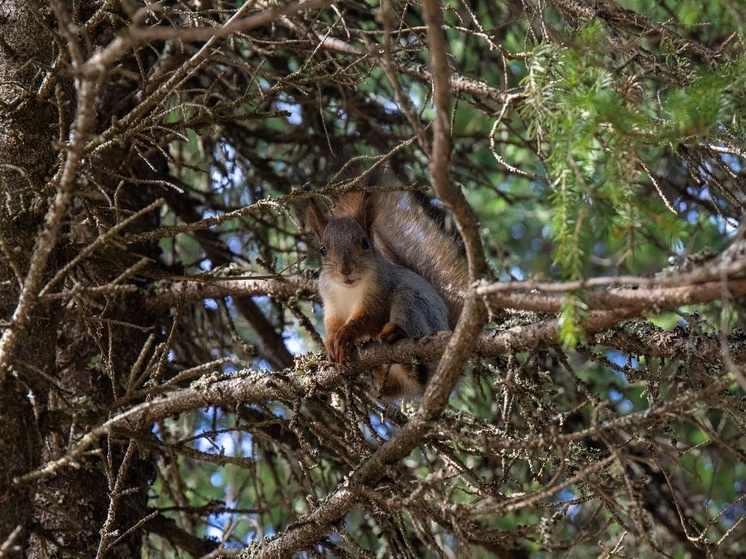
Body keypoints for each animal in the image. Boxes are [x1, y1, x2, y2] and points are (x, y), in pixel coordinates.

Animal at [300, 168, 462, 400]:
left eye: (365, 242)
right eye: (322, 249)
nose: (345, 270)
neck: (348, 289)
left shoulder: (380, 290)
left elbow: (369, 317)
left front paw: (345, 335)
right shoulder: (330, 299)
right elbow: (332, 322)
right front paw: (331, 342)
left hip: (414, 306)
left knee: (419, 370)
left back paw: (396, 335)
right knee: (390, 388)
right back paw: (377, 372)